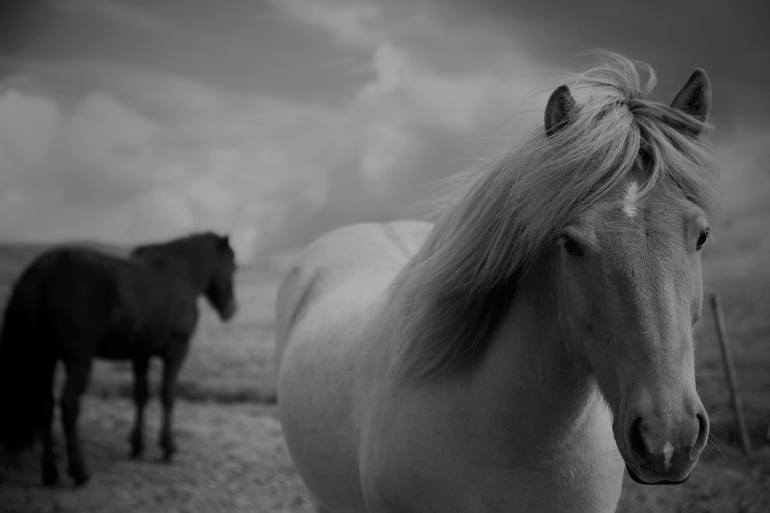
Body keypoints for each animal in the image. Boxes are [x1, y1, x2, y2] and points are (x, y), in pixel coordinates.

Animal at [0, 232, 236, 484]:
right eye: (233, 266)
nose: (232, 309)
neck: (181, 275)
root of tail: (42, 272)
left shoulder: (140, 354)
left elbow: (141, 396)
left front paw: (137, 445)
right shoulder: (176, 351)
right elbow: (168, 396)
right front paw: (168, 447)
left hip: (46, 357)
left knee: (44, 405)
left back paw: (50, 473)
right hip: (78, 360)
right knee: (68, 405)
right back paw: (79, 471)